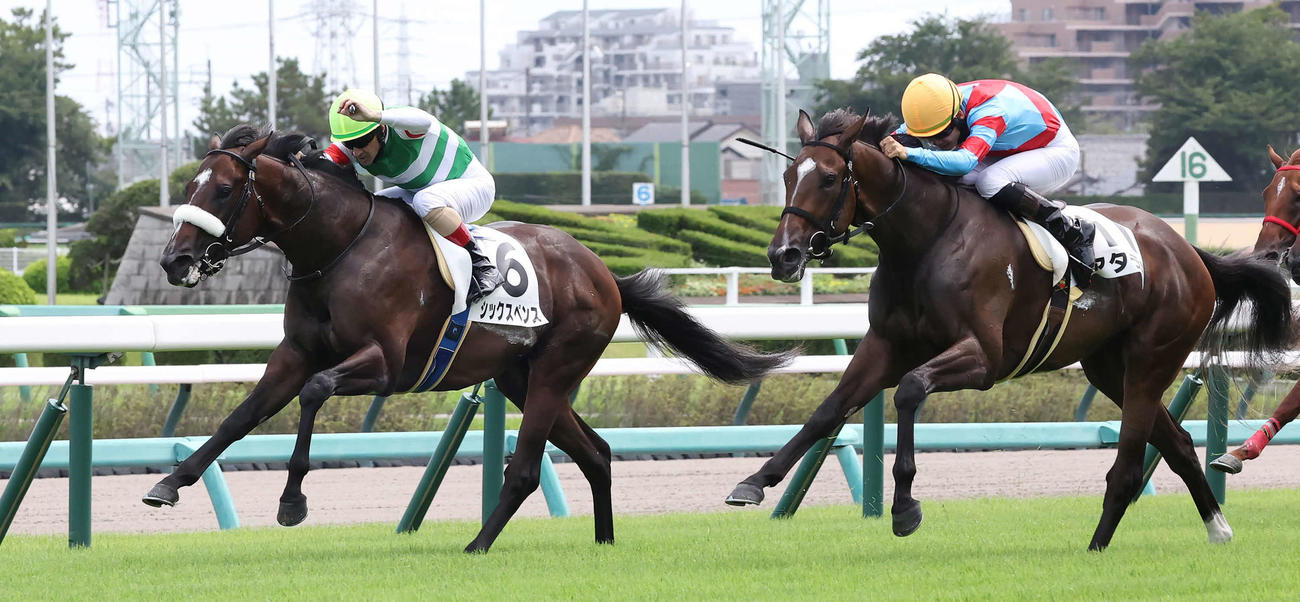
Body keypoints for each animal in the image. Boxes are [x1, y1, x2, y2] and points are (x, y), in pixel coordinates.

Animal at [143, 125, 790, 553]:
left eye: (223, 190)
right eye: (192, 183)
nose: (175, 261)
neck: (340, 246)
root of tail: (604, 272)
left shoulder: (386, 365)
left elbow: (316, 391)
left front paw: (292, 501)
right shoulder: (295, 353)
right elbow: (241, 415)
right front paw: (169, 484)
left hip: (557, 368)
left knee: (526, 469)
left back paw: (477, 545)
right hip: (521, 375)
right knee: (596, 453)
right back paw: (603, 543)